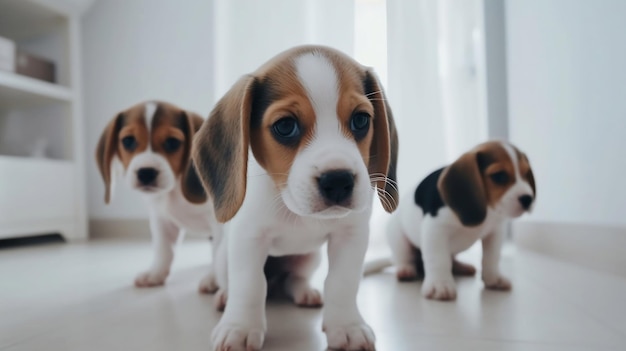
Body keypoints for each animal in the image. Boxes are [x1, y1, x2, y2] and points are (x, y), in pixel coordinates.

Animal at [96, 101, 223, 292]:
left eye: (172, 142)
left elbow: (219, 252)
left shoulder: (220, 223)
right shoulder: (163, 220)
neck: (175, 190)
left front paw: (215, 280)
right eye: (128, 141)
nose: (146, 172)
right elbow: (164, 250)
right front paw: (155, 274)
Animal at [188, 45, 398, 350]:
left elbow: (342, 283)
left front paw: (347, 327)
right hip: (225, 259)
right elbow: (250, 285)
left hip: (308, 257)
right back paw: (225, 296)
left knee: (293, 280)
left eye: (361, 120)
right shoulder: (248, 239)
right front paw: (239, 328)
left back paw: (306, 292)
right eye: (285, 126)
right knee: (240, 283)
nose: (338, 181)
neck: (292, 207)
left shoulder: (351, 236)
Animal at [380, 142, 532, 302]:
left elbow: (492, 257)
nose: (528, 199)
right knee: (404, 257)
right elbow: (439, 259)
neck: (487, 208)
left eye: (526, 174)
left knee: (452, 260)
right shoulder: (435, 230)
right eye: (499, 176)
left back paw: (462, 267)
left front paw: (494, 278)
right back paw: (405, 270)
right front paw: (440, 285)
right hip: (398, 238)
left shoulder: (495, 233)